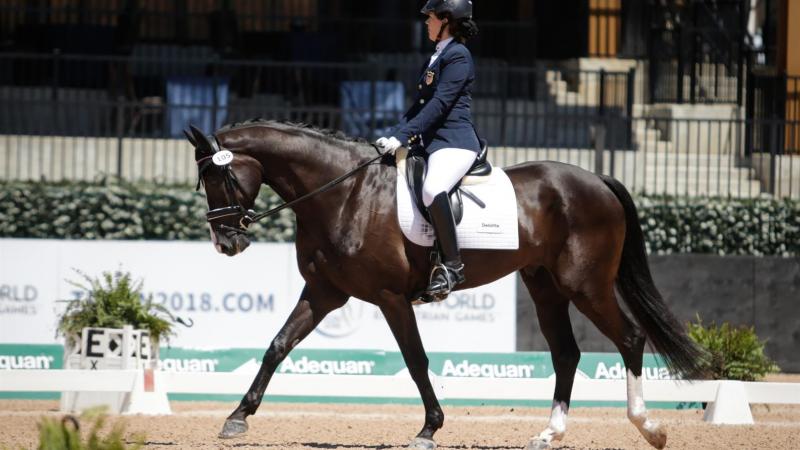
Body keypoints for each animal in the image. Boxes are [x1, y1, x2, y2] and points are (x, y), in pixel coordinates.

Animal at [189, 120, 708, 450]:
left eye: (219, 177)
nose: (226, 244)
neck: (343, 194)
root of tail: (597, 179)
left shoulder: (390, 297)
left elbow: (416, 361)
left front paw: (429, 430)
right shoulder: (323, 293)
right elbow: (277, 346)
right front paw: (236, 418)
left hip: (586, 284)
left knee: (630, 337)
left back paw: (650, 428)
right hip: (545, 286)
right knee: (566, 353)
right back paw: (548, 434)